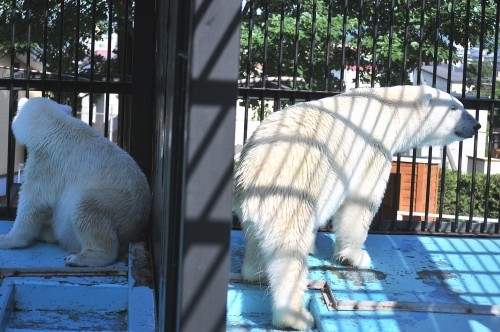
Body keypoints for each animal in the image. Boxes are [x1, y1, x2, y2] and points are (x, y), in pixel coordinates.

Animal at [0, 96, 150, 268]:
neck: (53, 128)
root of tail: (134, 229)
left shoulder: (47, 163)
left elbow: (34, 202)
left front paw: (6, 239)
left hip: (117, 205)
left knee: (86, 206)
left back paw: (78, 258)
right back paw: (46, 231)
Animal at [234, 85, 480, 330]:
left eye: (461, 105)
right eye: (454, 108)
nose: (476, 125)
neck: (390, 109)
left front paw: (315, 245)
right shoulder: (373, 148)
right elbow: (361, 201)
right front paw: (354, 257)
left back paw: (255, 273)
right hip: (289, 194)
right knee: (288, 254)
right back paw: (294, 317)